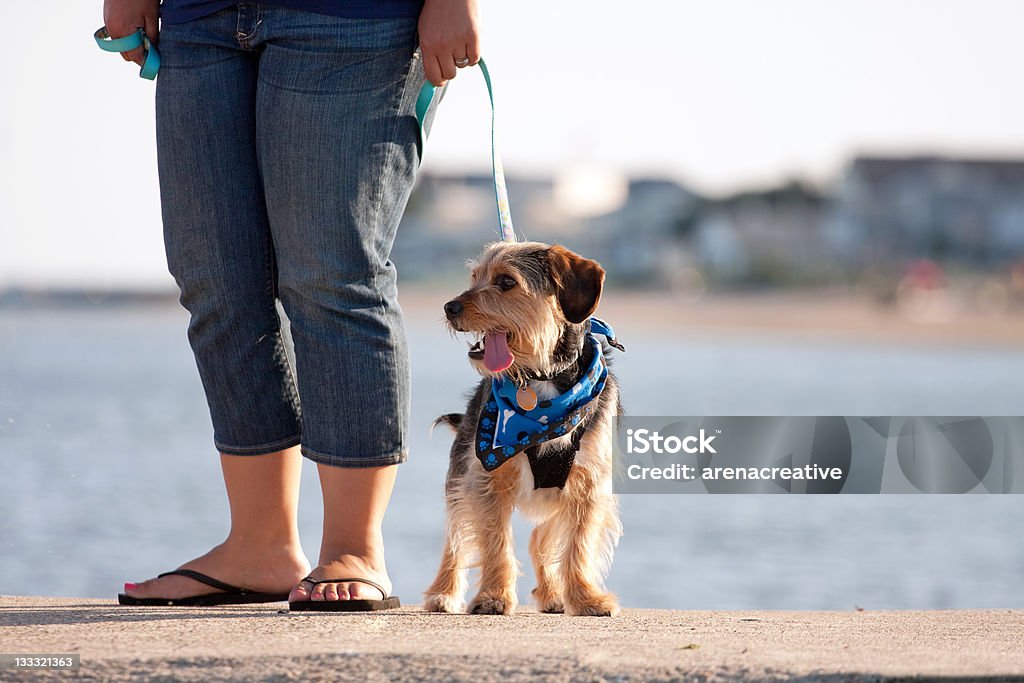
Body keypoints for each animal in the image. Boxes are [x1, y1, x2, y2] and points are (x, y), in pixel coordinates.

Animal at [423, 242, 622, 618]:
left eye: (506, 281)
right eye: (475, 277)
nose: (449, 307)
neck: (540, 380)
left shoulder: (588, 485)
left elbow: (579, 545)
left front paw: (586, 598)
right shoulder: (485, 479)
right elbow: (495, 541)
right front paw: (493, 597)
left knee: (540, 540)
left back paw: (553, 594)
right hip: (459, 478)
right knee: (456, 540)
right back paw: (442, 593)